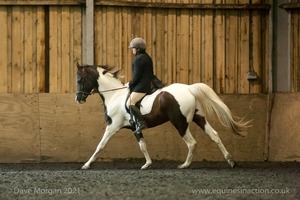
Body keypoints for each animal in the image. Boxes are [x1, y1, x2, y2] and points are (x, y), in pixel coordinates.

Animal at [75, 63, 251, 170]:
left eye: (80, 79)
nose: (78, 99)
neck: (115, 95)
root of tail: (189, 88)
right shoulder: (135, 128)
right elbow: (143, 145)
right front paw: (147, 164)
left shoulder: (112, 127)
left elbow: (100, 145)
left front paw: (86, 164)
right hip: (198, 117)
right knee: (214, 135)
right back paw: (231, 161)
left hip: (180, 122)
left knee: (192, 143)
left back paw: (185, 165)